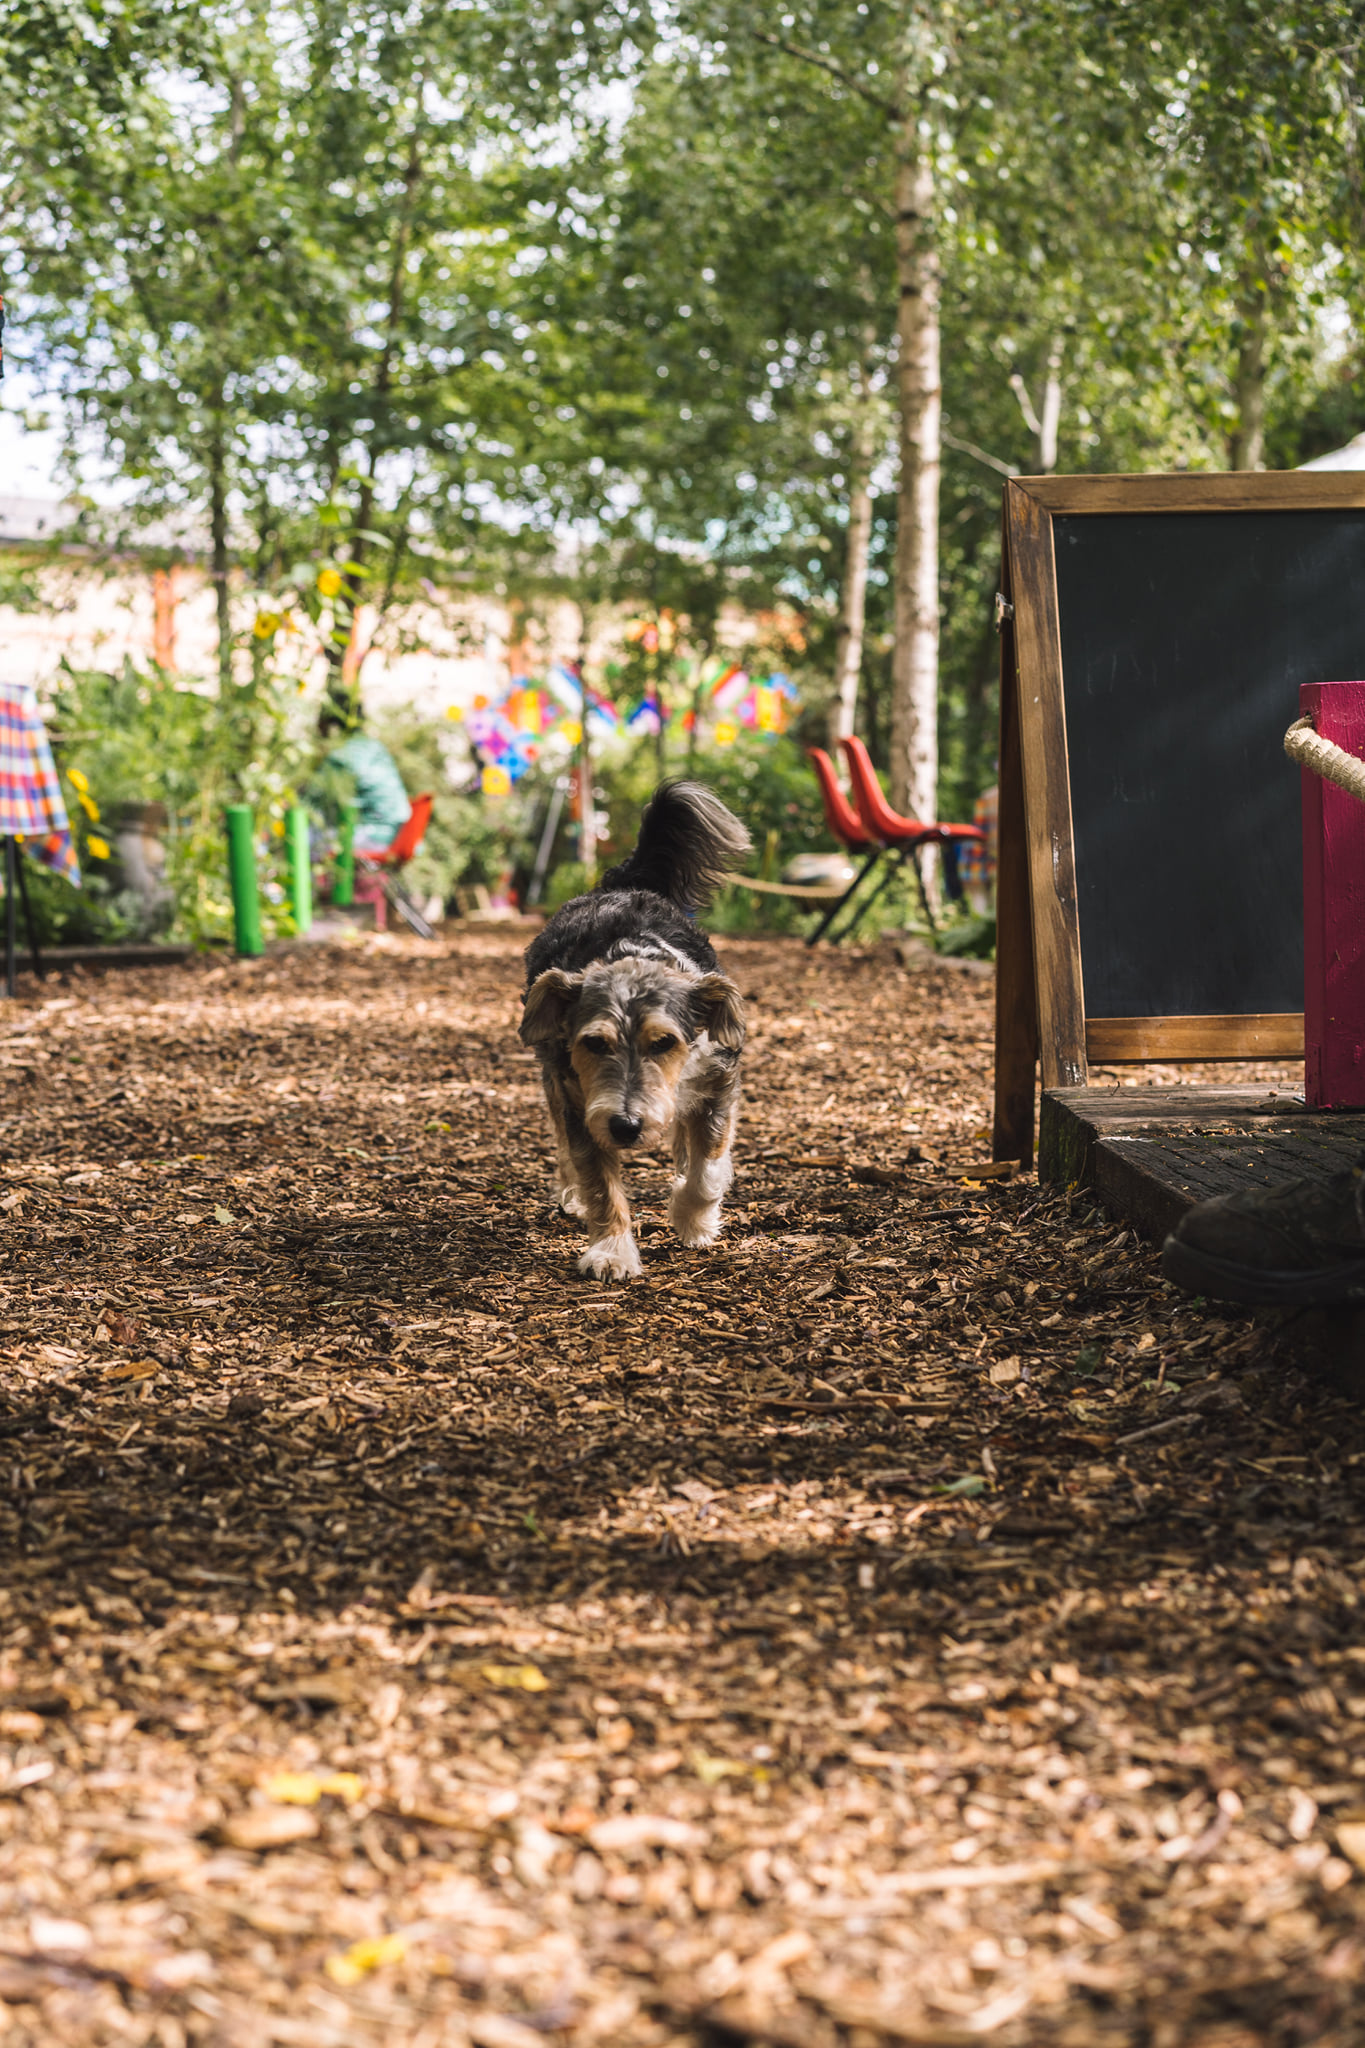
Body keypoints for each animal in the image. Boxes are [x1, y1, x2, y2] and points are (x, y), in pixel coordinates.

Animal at [523, 782, 757, 1277]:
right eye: (594, 1043)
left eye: (664, 1042)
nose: (626, 1126)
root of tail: (620, 886)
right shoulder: (581, 1102)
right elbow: (599, 1183)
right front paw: (611, 1251)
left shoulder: (718, 1085)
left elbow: (708, 1169)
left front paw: (694, 1220)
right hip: (554, 1083)